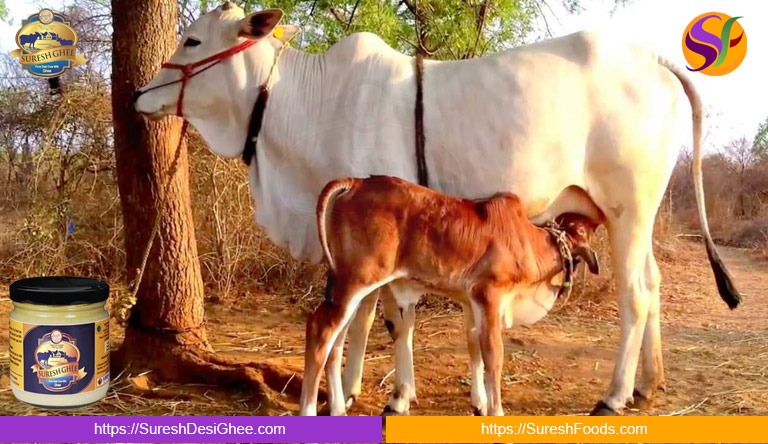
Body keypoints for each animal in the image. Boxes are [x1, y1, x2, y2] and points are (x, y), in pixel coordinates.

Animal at [301, 175, 602, 416]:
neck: (528, 241)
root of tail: (357, 182)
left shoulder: (472, 303)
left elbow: (475, 348)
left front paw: (480, 404)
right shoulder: (489, 296)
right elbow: (494, 356)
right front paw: (496, 411)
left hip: (346, 289)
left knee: (336, 341)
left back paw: (338, 409)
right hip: (357, 280)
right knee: (320, 329)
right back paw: (309, 411)